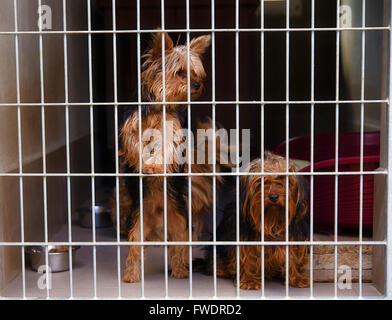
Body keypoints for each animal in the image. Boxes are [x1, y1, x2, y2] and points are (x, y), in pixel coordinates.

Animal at [194, 152, 310, 290]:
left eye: (283, 179)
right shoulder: (243, 238)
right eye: (262, 181)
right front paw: (249, 280)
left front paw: (296, 277)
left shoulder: (293, 237)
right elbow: (246, 256)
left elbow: (293, 255)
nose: (274, 196)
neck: (272, 220)